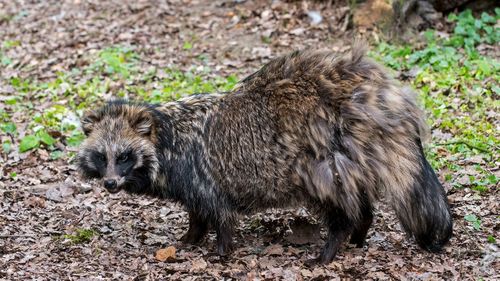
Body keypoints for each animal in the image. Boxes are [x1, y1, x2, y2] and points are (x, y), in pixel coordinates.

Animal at [77, 44, 454, 262]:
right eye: (102, 156)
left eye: (124, 156)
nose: (110, 184)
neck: (164, 134)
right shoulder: (190, 181)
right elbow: (197, 213)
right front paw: (190, 238)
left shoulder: (200, 174)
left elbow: (217, 212)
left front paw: (221, 250)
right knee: (359, 202)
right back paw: (359, 234)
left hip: (324, 161)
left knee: (338, 204)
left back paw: (333, 245)